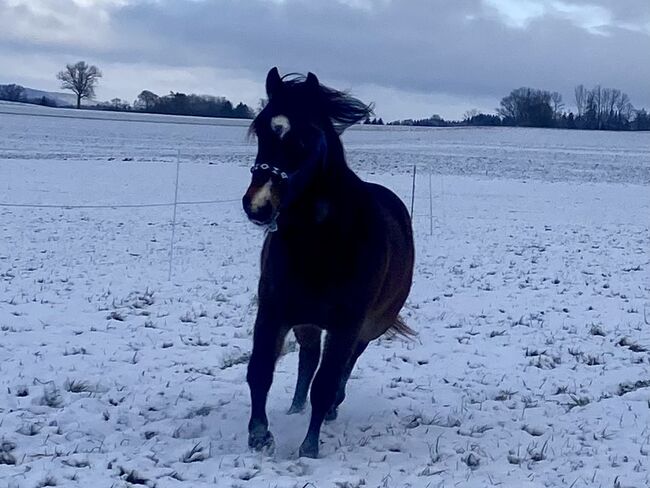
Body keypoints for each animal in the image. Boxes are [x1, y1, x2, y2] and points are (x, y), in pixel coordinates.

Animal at [240, 66, 412, 460]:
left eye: (304, 139)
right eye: (261, 130)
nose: (258, 205)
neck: (319, 244)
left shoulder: (348, 324)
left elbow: (327, 380)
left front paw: (309, 447)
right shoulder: (274, 311)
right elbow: (260, 371)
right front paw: (260, 435)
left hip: (369, 326)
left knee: (344, 366)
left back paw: (331, 406)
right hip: (306, 321)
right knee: (308, 357)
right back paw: (295, 407)